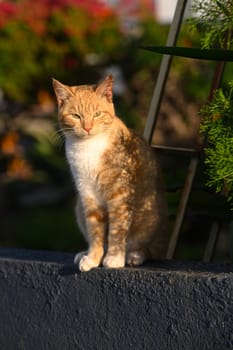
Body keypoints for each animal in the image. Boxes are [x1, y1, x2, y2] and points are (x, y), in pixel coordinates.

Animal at [52, 76, 167, 274]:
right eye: (76, 116)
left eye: (97, 114)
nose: (88, 127)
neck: (88, 147)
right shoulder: (87, 195)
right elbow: (95, 230)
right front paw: (93, 258)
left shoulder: (120, 194)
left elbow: (117, 229)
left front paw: (114, 258)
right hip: (78, 207)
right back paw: (85, 253)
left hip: (151, 213)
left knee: (149, 248)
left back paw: (134, 255)